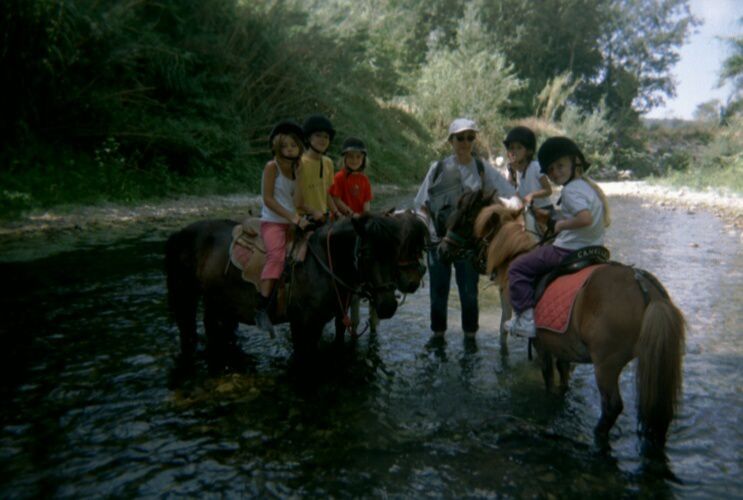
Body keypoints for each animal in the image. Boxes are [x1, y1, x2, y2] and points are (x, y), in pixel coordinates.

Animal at [166, 213, 428, 370]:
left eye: (394, 251)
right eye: (366, 253)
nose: (388, 306)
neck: (322, 263)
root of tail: (179, 234)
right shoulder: (302, 325)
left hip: (217, 303)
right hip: (185, 297)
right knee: (188, 332)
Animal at [438, 190, 688, 450]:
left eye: (465, 219)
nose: (441, 250)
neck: (519, 250)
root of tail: (646, 288)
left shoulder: (543, 346)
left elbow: (548, 381)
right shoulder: (562, 349)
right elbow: (563, 380)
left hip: (606, 364)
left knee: (612, 406)